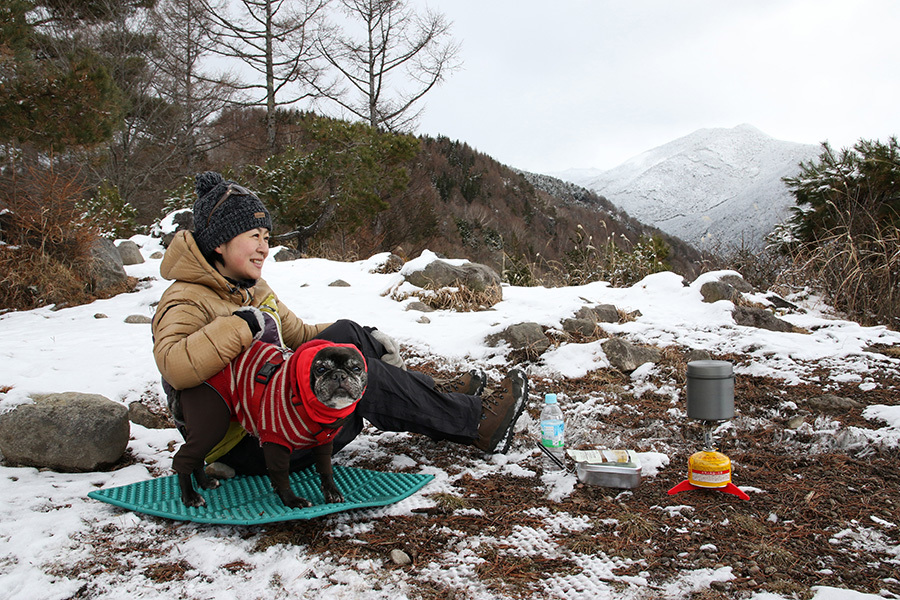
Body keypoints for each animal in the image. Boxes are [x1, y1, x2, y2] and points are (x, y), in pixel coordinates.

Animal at [176, 340, 366, 508]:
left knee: (196, 458)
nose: (339, 375)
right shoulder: (274, 440)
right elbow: (280, 472)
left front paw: (331, 491)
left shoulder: (324, 442)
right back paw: (190, 497)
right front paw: (291, 500)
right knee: (183, 457)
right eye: (320, 369)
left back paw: (204, 484)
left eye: (356, 368)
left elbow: (325, 468)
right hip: (211, 425)